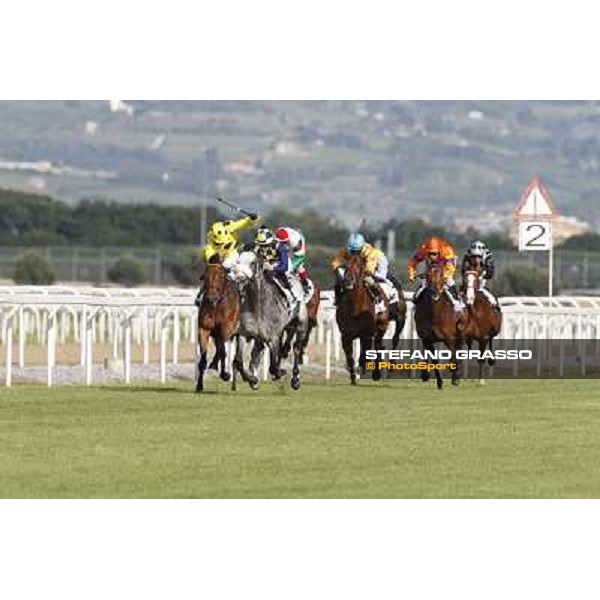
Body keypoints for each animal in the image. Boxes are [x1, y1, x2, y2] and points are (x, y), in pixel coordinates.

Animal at [198, 256, 243, 394]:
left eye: (220, 277)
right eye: (205, 276)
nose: (211, 299)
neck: (216, 306)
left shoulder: (226, 329)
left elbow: (223, 352)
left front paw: (225, 374)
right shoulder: (204, 329)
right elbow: (203, 358)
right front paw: (199, 385)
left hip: (238, 334)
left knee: (236, 358)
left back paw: (234, 383)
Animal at [231, 251, 310, 392]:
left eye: (252, 262)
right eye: (238, 260)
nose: (238, 277)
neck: (258, 306)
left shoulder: (273, 338)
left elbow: (273, 366)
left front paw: (281, 372)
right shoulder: (244, 334)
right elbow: (238, 361)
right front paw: (252, 379)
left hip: (301, 325)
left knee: (296, 348)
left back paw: (295, 379)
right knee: (259, 350)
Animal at [338, 253, 390, 384]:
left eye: (358, 265)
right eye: (346, 265)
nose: (348, 280)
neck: (355, 308)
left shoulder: (366, 335)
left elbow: (364, 355)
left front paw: (361, 370)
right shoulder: (346, 336)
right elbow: (350, 358)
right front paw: (353, 377)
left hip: (381, 328)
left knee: (378, 346)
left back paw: (375, 373)